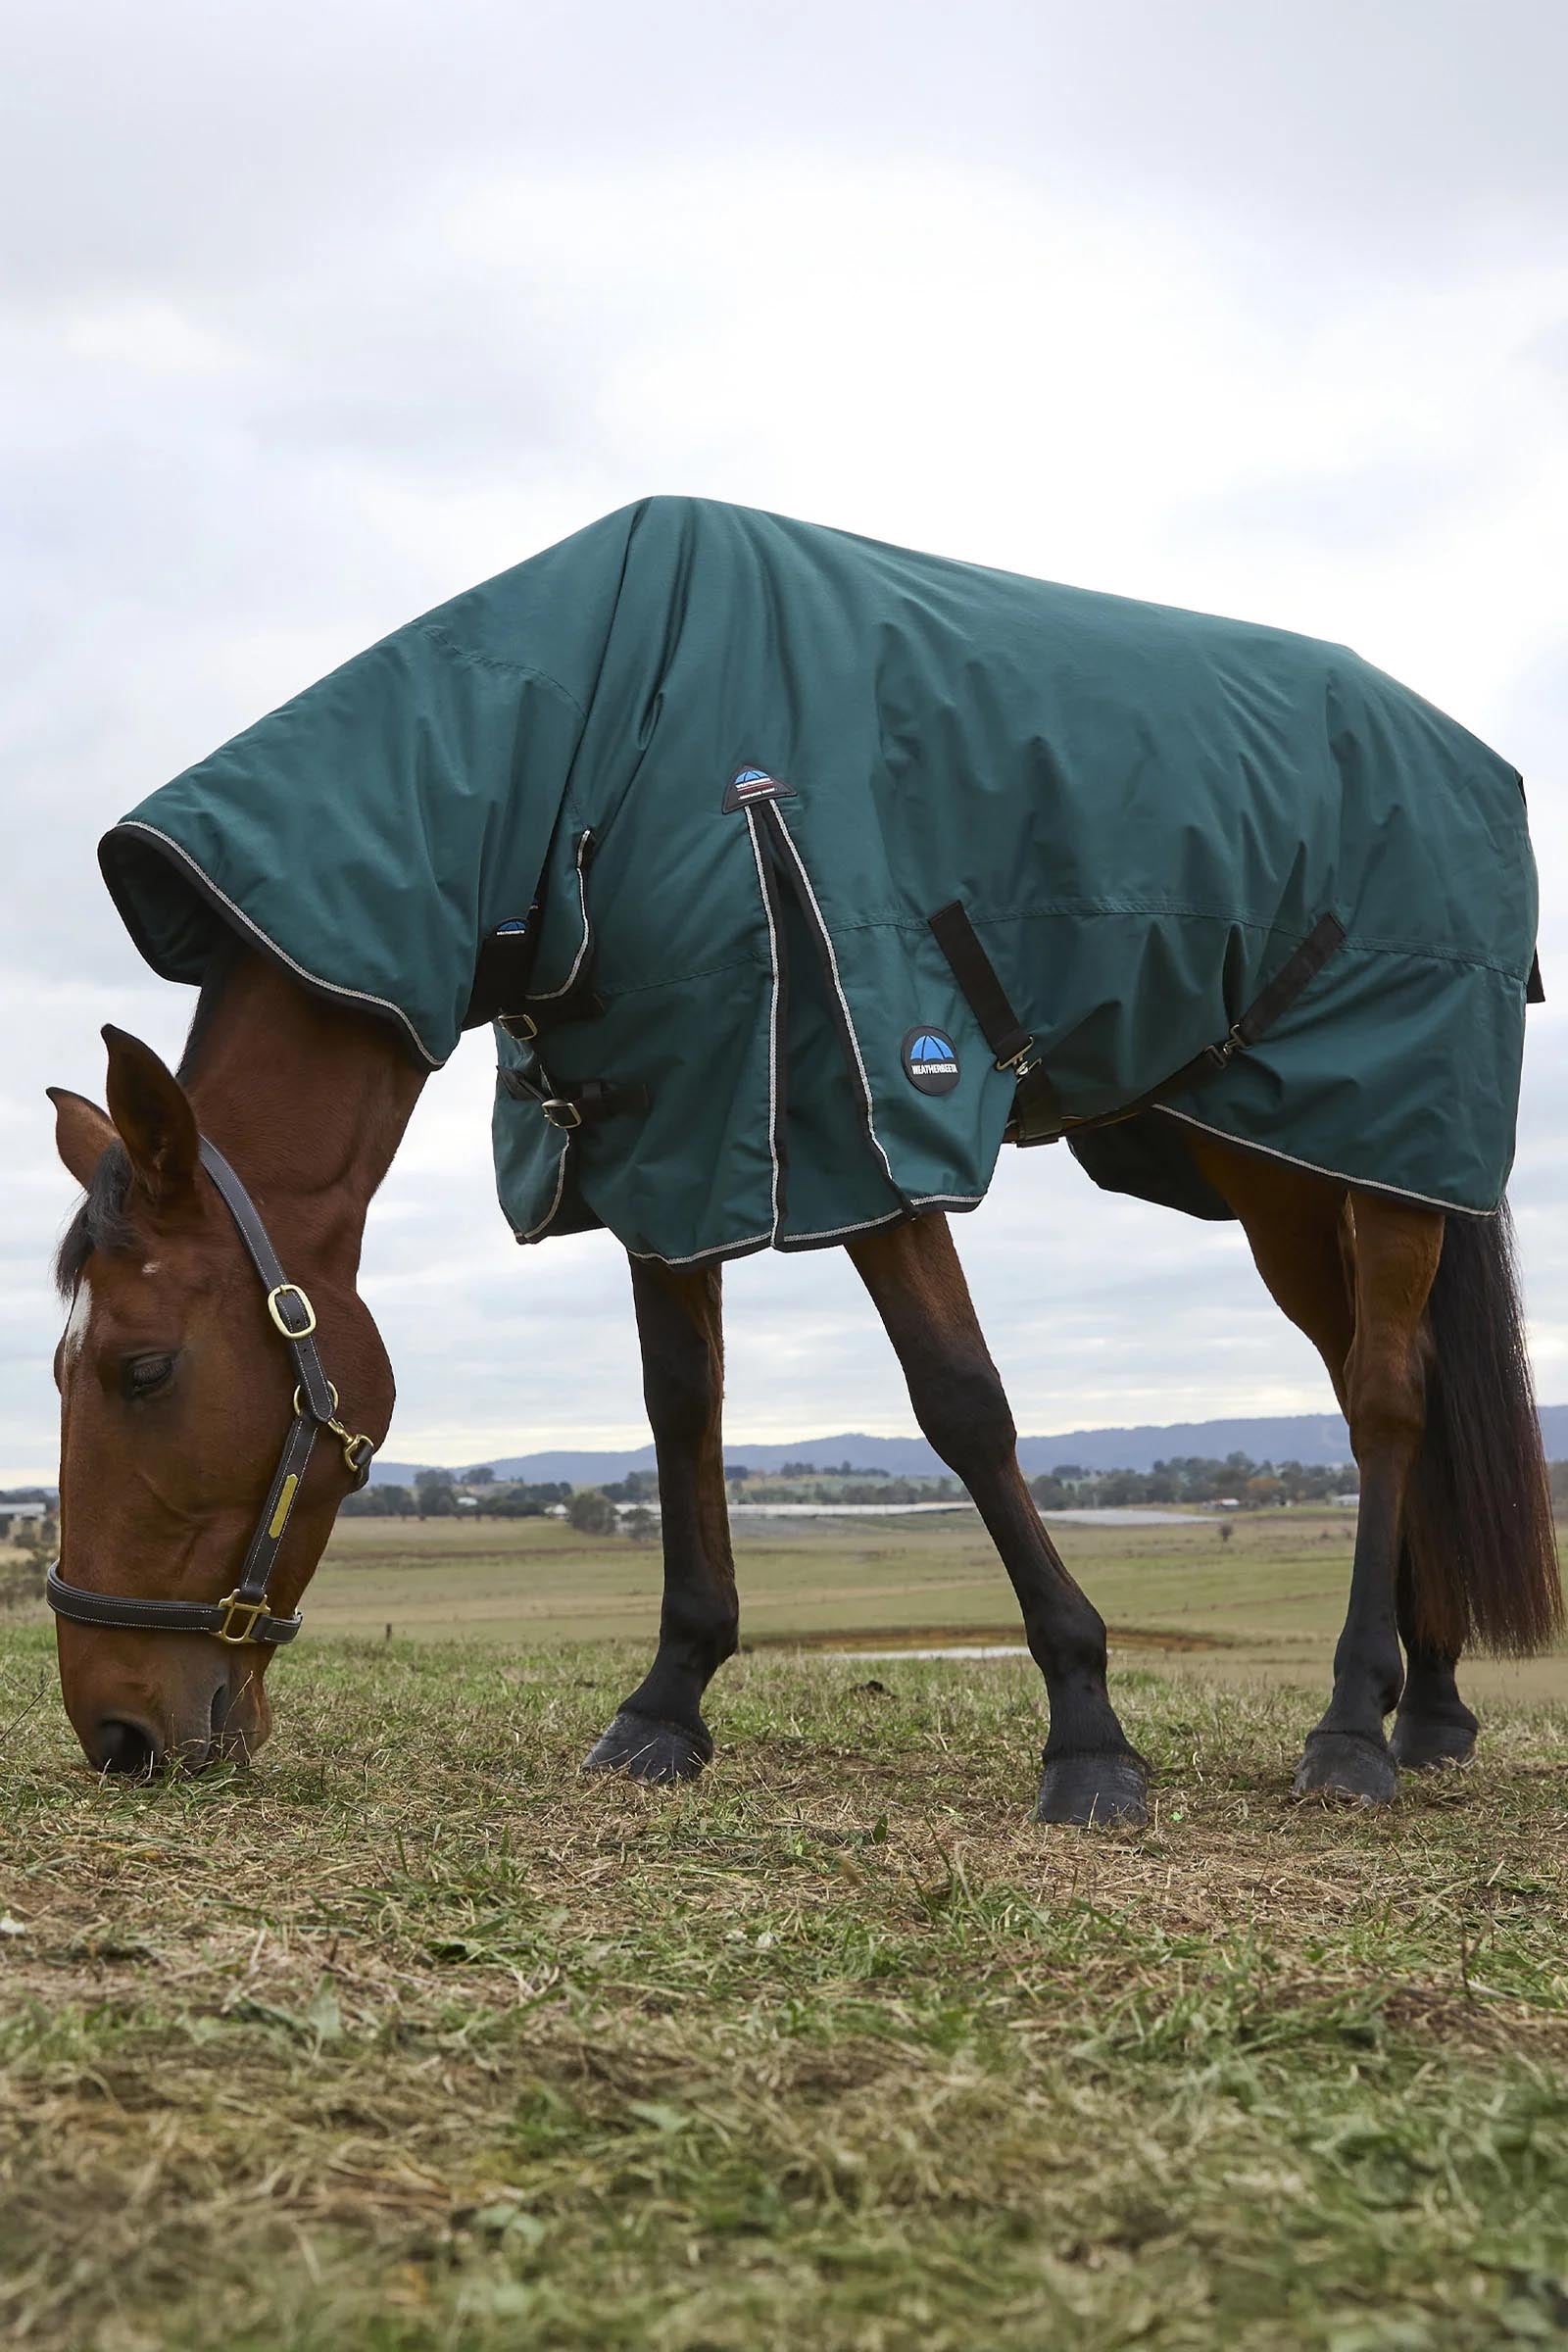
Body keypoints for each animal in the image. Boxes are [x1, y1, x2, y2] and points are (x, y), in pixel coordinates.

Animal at [48, 934, 1560, 1821]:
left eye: (140, 1369)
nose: (113, 1732)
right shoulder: (665, 1140)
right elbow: (683, 1404)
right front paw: (666, 1702)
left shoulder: (856, 1118)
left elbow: (960, 1402)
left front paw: (1086, 1730)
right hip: (1290, 1168)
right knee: (1380, 1384)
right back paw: (1426, 1704)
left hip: (1367, 1151)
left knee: (1385, 1398)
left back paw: (1352, 1728)